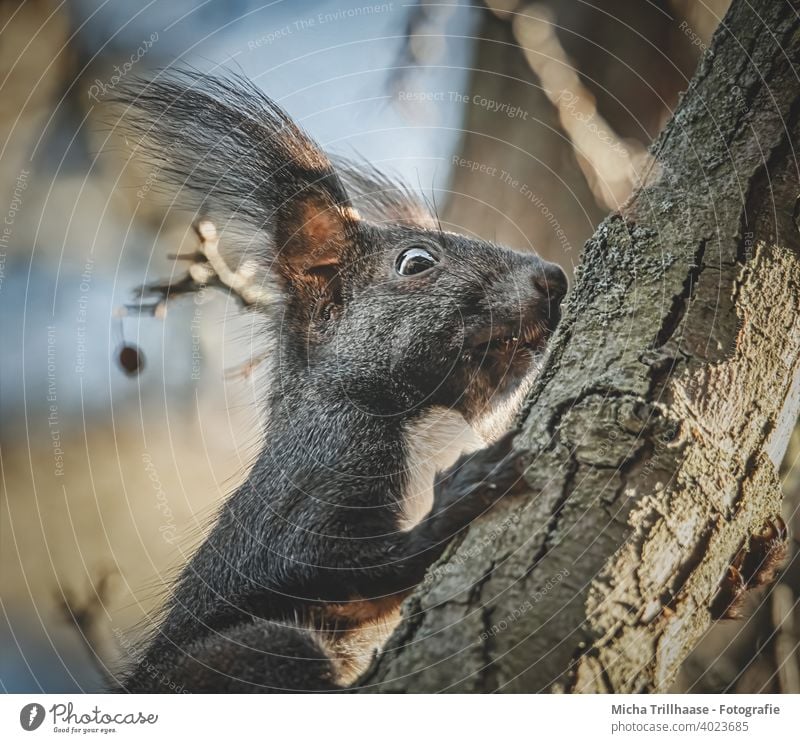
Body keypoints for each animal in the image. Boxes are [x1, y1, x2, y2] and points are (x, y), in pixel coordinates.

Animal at [117, 72, 568, 696]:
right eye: (416, 262)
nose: (553, 279)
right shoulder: (324, 461)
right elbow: (323, 564)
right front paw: (463, 494)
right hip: (250, 656)